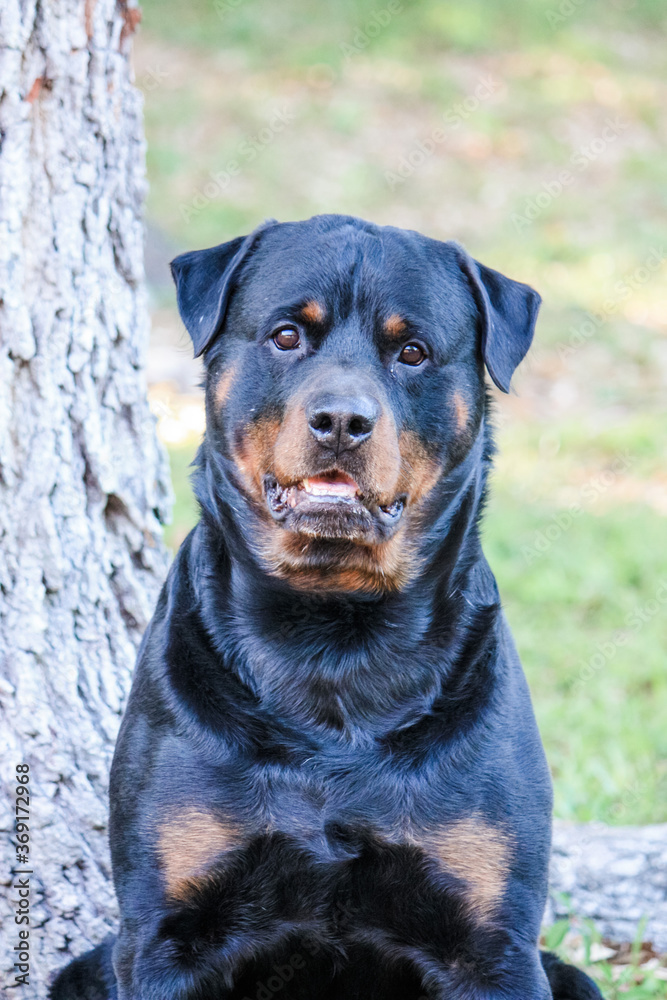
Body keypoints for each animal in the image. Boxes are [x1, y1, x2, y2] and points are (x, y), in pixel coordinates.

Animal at [51, 217, 604, 1000]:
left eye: (412, 352)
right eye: (287, 336)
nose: (342, 418)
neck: (334, 642)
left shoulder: (491, 945)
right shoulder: (164, 933)